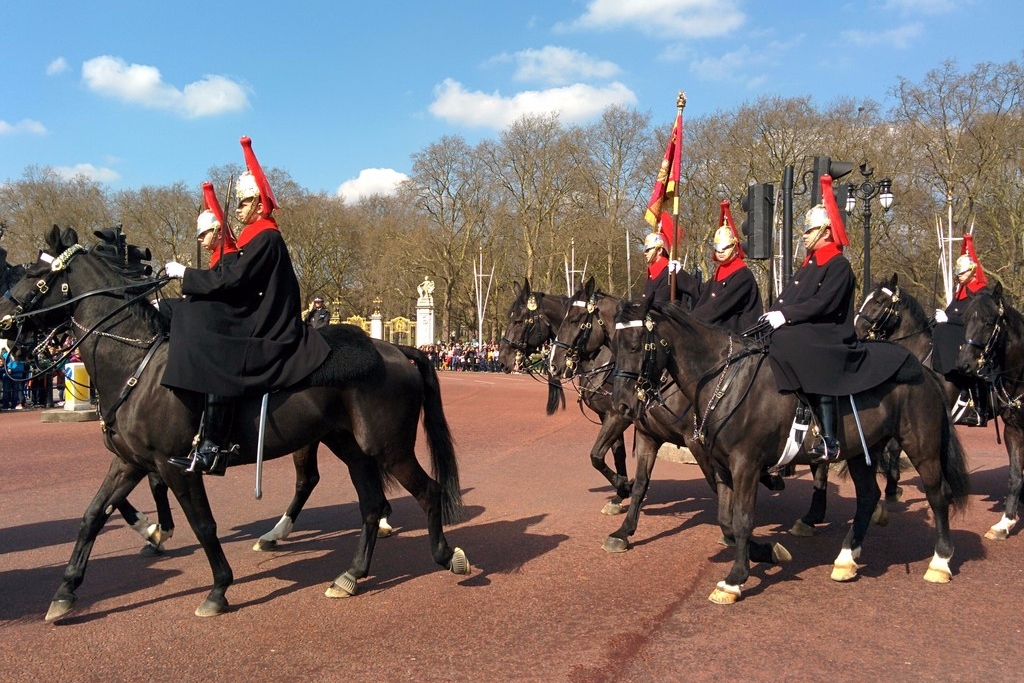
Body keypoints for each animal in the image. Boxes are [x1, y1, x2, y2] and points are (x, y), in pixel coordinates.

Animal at [0, 227, 471, 622]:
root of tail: (397, 350)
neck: (137, 363)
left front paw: (217, 589)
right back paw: (349, 575)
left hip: (387, 448)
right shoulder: (130, 461)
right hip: (350, 447)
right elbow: (93, 516)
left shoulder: (176, 466)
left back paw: (445, 555)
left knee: (427, 491)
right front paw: (66, 591)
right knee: (368, 504)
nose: (5, 323)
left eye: (37, 274)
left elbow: (203, 525)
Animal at [610, 301, 970, 602]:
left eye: (635, 345)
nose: (622, 404)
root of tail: (924, 371)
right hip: (860, 452)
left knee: (938, 496)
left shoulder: (746, 464)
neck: (725, 381)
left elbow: (742, 519)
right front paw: (763, 552)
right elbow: (726, 517)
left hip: (921, 447)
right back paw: (846, 559)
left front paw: (735, 578)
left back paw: (939, 562)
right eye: (614, 346)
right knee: (868, 496)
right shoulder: (723, 465)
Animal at [954, 282, 1019, 540]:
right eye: (964, 321)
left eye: (989, 322)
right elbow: (1015, 476)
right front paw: (1005, 522)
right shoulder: (1013, 430)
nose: (964, 365)